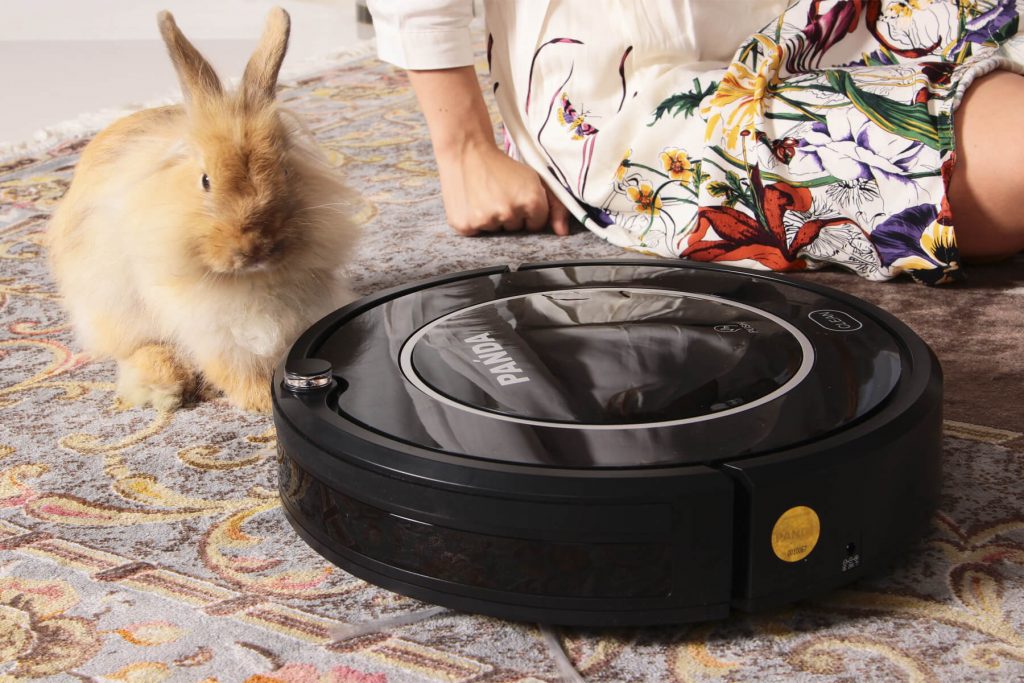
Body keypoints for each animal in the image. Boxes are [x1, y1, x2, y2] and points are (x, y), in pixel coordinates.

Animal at [48, 7, 360, 411]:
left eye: (285, 171)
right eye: (205, 180)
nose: (254, 248)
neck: (248, 282)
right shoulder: (210, 330)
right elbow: (231, 368)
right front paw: (260, 399)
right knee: (138, 348)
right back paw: (163, 387)